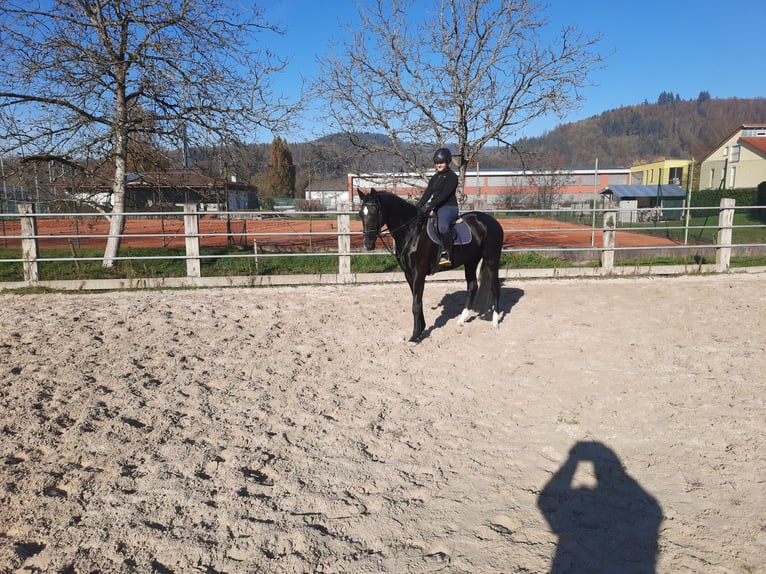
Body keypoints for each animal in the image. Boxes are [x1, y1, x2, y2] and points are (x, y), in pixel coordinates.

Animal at [362, 189, 510, 344]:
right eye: (361, 214)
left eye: (374, 212)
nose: (368, 245)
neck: (412, 231)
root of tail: (493, 222)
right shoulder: (408, 274)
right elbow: (418, 301)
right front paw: (421, 330)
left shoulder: (419, 273)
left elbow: (415, 305)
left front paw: (415, 337)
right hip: (471, 261)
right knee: (472, 286)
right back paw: (462, 320)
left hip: (491, 259)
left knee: (495, 288)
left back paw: (495, 322)